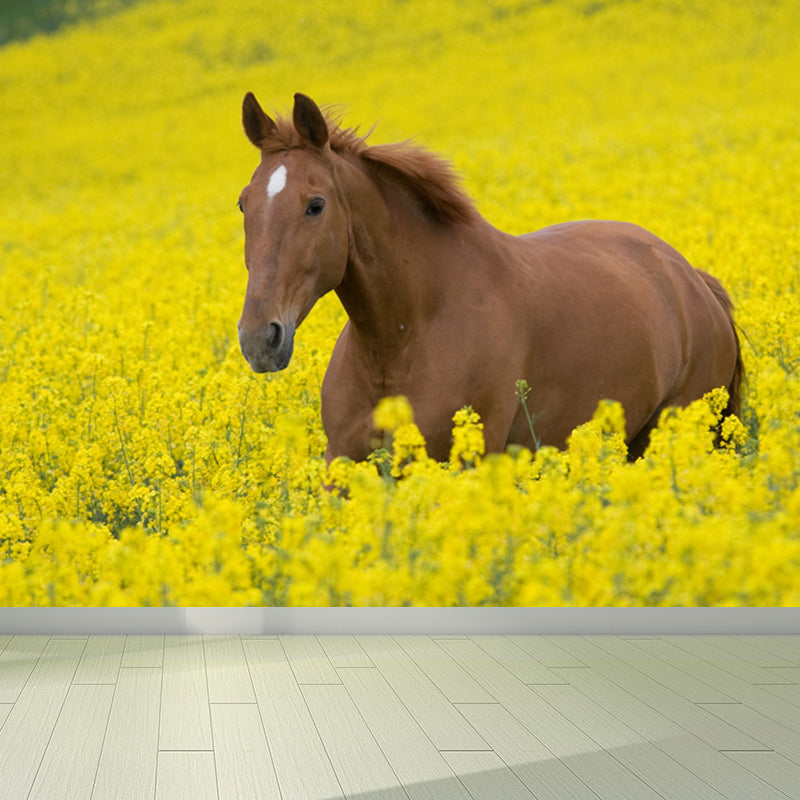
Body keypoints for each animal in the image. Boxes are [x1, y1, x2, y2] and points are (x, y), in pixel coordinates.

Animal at [237, 92, 743, 463]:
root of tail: (692, 280)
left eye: (315, 204)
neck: (401, 340)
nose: (260, 338)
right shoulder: (342, 464)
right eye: (244, 203)